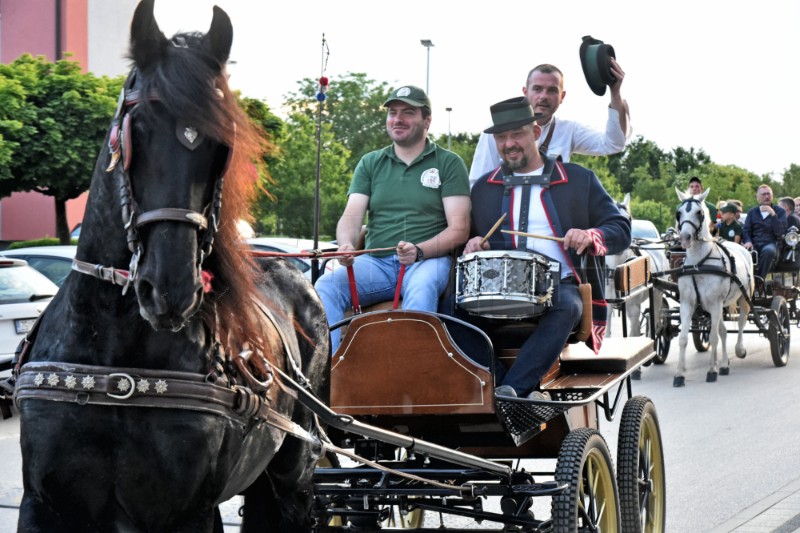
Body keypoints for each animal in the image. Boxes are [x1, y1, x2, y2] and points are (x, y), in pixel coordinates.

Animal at [11, 2, 328, 528]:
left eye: (223, 147)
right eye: (137, 130)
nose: (170, 290)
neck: (117, 361)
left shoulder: (184, 514)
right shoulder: (41, 504)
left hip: (295, 471)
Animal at [672, 188, 752, 386]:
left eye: (698, 212)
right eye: (679, 212)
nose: (685, 237)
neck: (698, 264)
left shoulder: (715, 304)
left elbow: (714, 337)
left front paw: (711, 370)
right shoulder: (688, 304)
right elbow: (683, 339)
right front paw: (679, 374)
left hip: (744, 296)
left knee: (741, 321)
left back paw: (738, 350)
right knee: (723, 331)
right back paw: (723, 364)